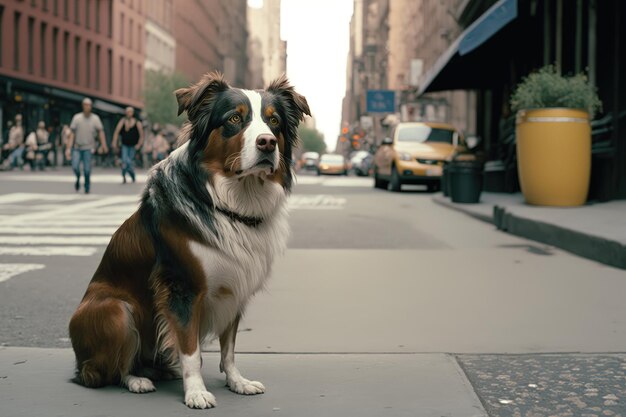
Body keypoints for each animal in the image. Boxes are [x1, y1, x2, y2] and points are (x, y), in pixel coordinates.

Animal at [69, 71, 310, 406]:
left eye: (273, 121)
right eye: (235, 118)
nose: (267, 143)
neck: (232, 202)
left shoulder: (234, 287)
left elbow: (229, 349)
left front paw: (237, 382)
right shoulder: (182, 288)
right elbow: (190, 350)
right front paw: (195, 391)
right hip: (116, 310)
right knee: (104, 372)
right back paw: (137, 380)